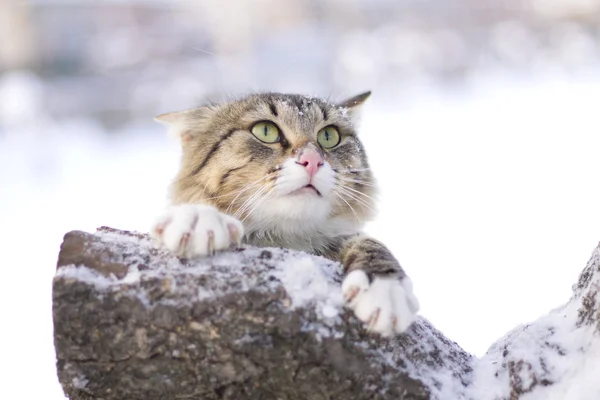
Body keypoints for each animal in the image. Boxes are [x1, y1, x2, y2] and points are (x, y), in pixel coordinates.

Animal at [152, 92, 420, 336]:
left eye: (329, 136)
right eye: (265, 131)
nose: (312, 160)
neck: (282, 238)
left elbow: (371, 243)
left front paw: (386, 290)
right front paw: (198, 219)